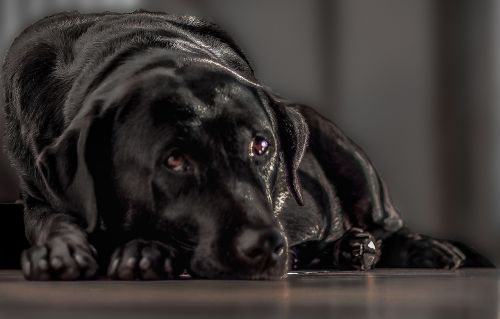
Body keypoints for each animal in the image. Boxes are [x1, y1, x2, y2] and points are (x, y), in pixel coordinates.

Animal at [0, 11, 492, 280]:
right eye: (174, 160)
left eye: (261, 146)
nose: (267, 246)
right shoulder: (39, 190)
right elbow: (55, 219)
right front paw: (63, 250)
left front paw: (142, 251)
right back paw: (344, 249)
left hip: (345, 151)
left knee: (386, 223)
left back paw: (414, 248)